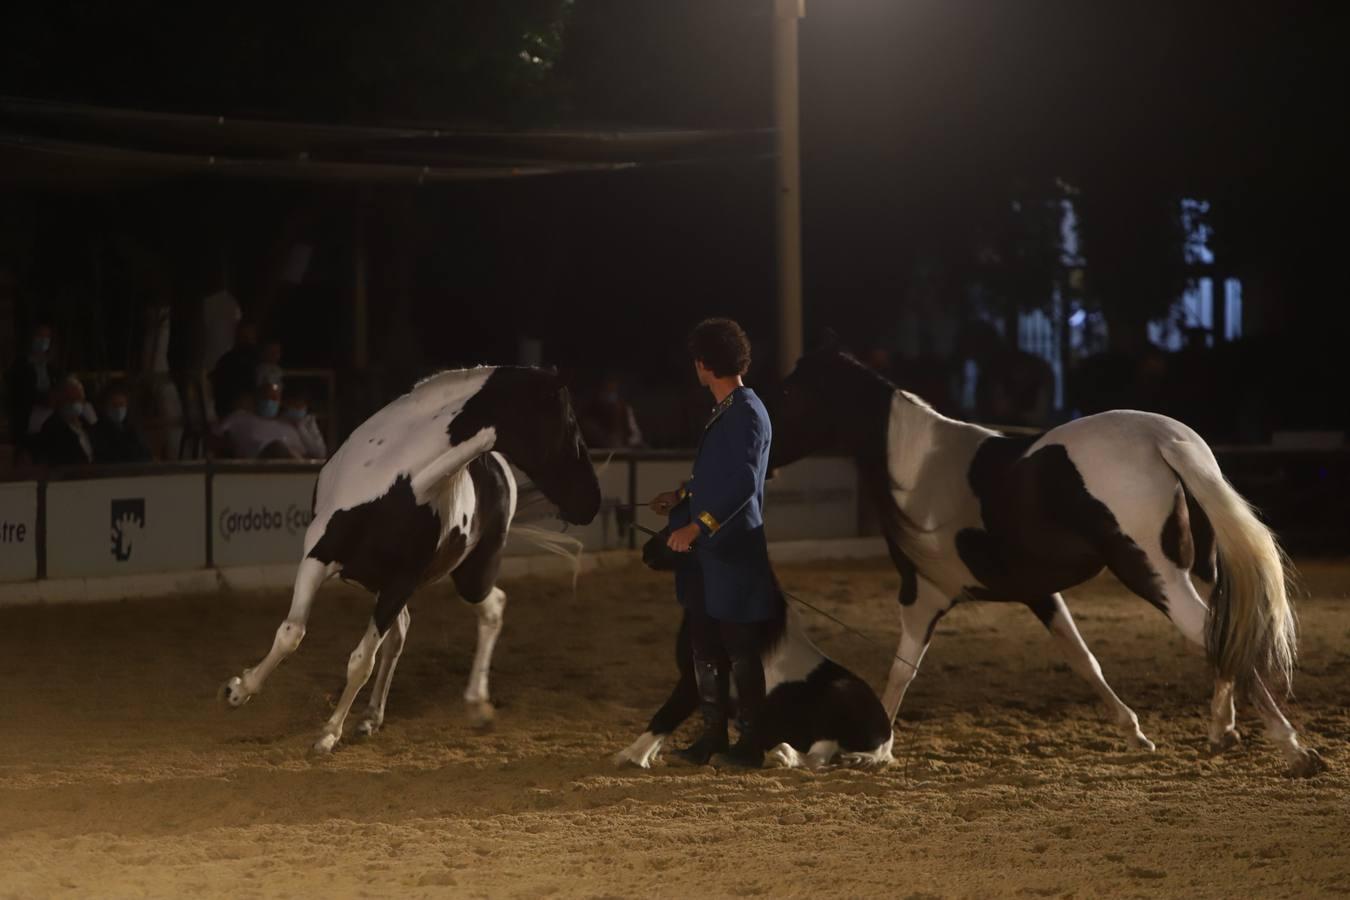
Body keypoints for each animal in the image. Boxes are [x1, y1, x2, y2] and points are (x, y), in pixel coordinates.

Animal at [222, 367, 602, 755]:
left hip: (470, 577)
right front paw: (239, 690)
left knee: (492, 607)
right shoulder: (318, 558)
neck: (401, 479)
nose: (592, 503)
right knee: (403, 632)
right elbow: (291, 633)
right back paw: (372, 716)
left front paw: (329, 732)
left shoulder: (401, 583)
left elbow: (361, 662)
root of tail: (499, 469)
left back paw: (476, 706)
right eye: (569, 422)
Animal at [766, 348, 1323, 777]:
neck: (917, 469)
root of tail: (1160, 437)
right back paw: (1223, 731)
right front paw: (1134, 733)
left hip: (1154, 574)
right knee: (1223, 632)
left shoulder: (923, 595)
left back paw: (1293, 749)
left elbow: (902, 670)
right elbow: (1083, 659)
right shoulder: (1039, 593)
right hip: (1191, 571)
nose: (765, 455)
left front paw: (875, 748)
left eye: (792, 395)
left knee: (1214, 633)